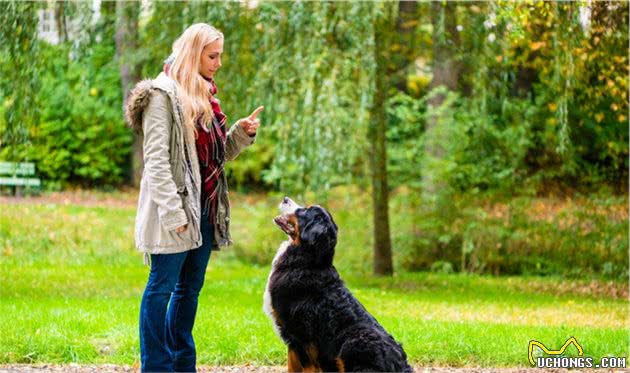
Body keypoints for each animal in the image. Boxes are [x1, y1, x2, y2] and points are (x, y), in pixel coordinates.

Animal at [264, 196, 412, 370]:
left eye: (305, 210)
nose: (285, 198)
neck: (307, 262)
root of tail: (400, 364)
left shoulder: (299, 336)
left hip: (353, 342)